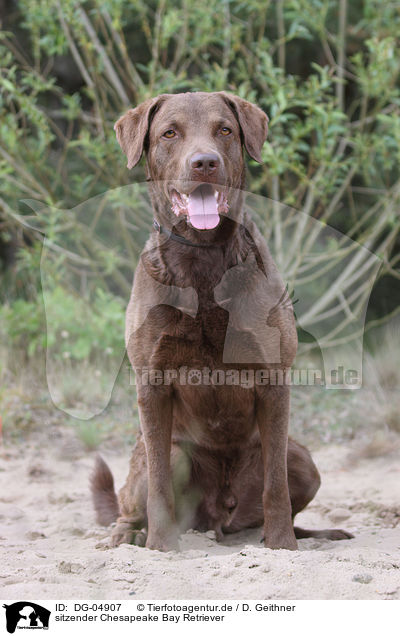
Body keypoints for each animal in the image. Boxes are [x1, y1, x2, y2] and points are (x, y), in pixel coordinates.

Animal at [91, 90, 354, 552]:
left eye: (225, 130)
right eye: (170, 133)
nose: (204, 163)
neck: (203, 261)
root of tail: (217, 517)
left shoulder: (273, 379)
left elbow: (275, 485)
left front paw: (282, 544)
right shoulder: (151, 382)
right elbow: (159, 483)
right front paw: (161, 548)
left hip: (302, 459)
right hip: (170, 454)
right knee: (134, 499)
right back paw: (128, 536)